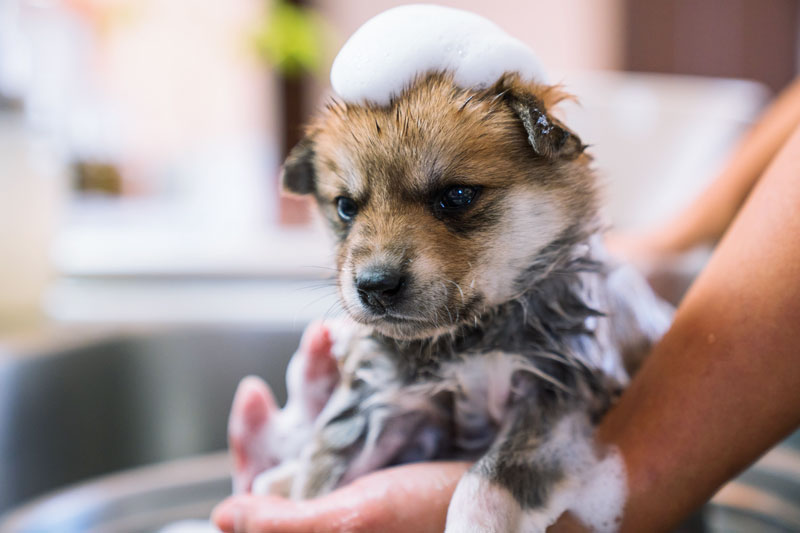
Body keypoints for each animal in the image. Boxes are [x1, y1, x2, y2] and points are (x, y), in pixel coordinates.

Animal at [230, 72, 668, 528]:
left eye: (456, 195)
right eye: (346, 206)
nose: (374, 286)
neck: (469, 341)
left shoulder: (557, 396)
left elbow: (486, 482)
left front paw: (475, 523)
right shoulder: (384, 400)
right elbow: (322, 472)